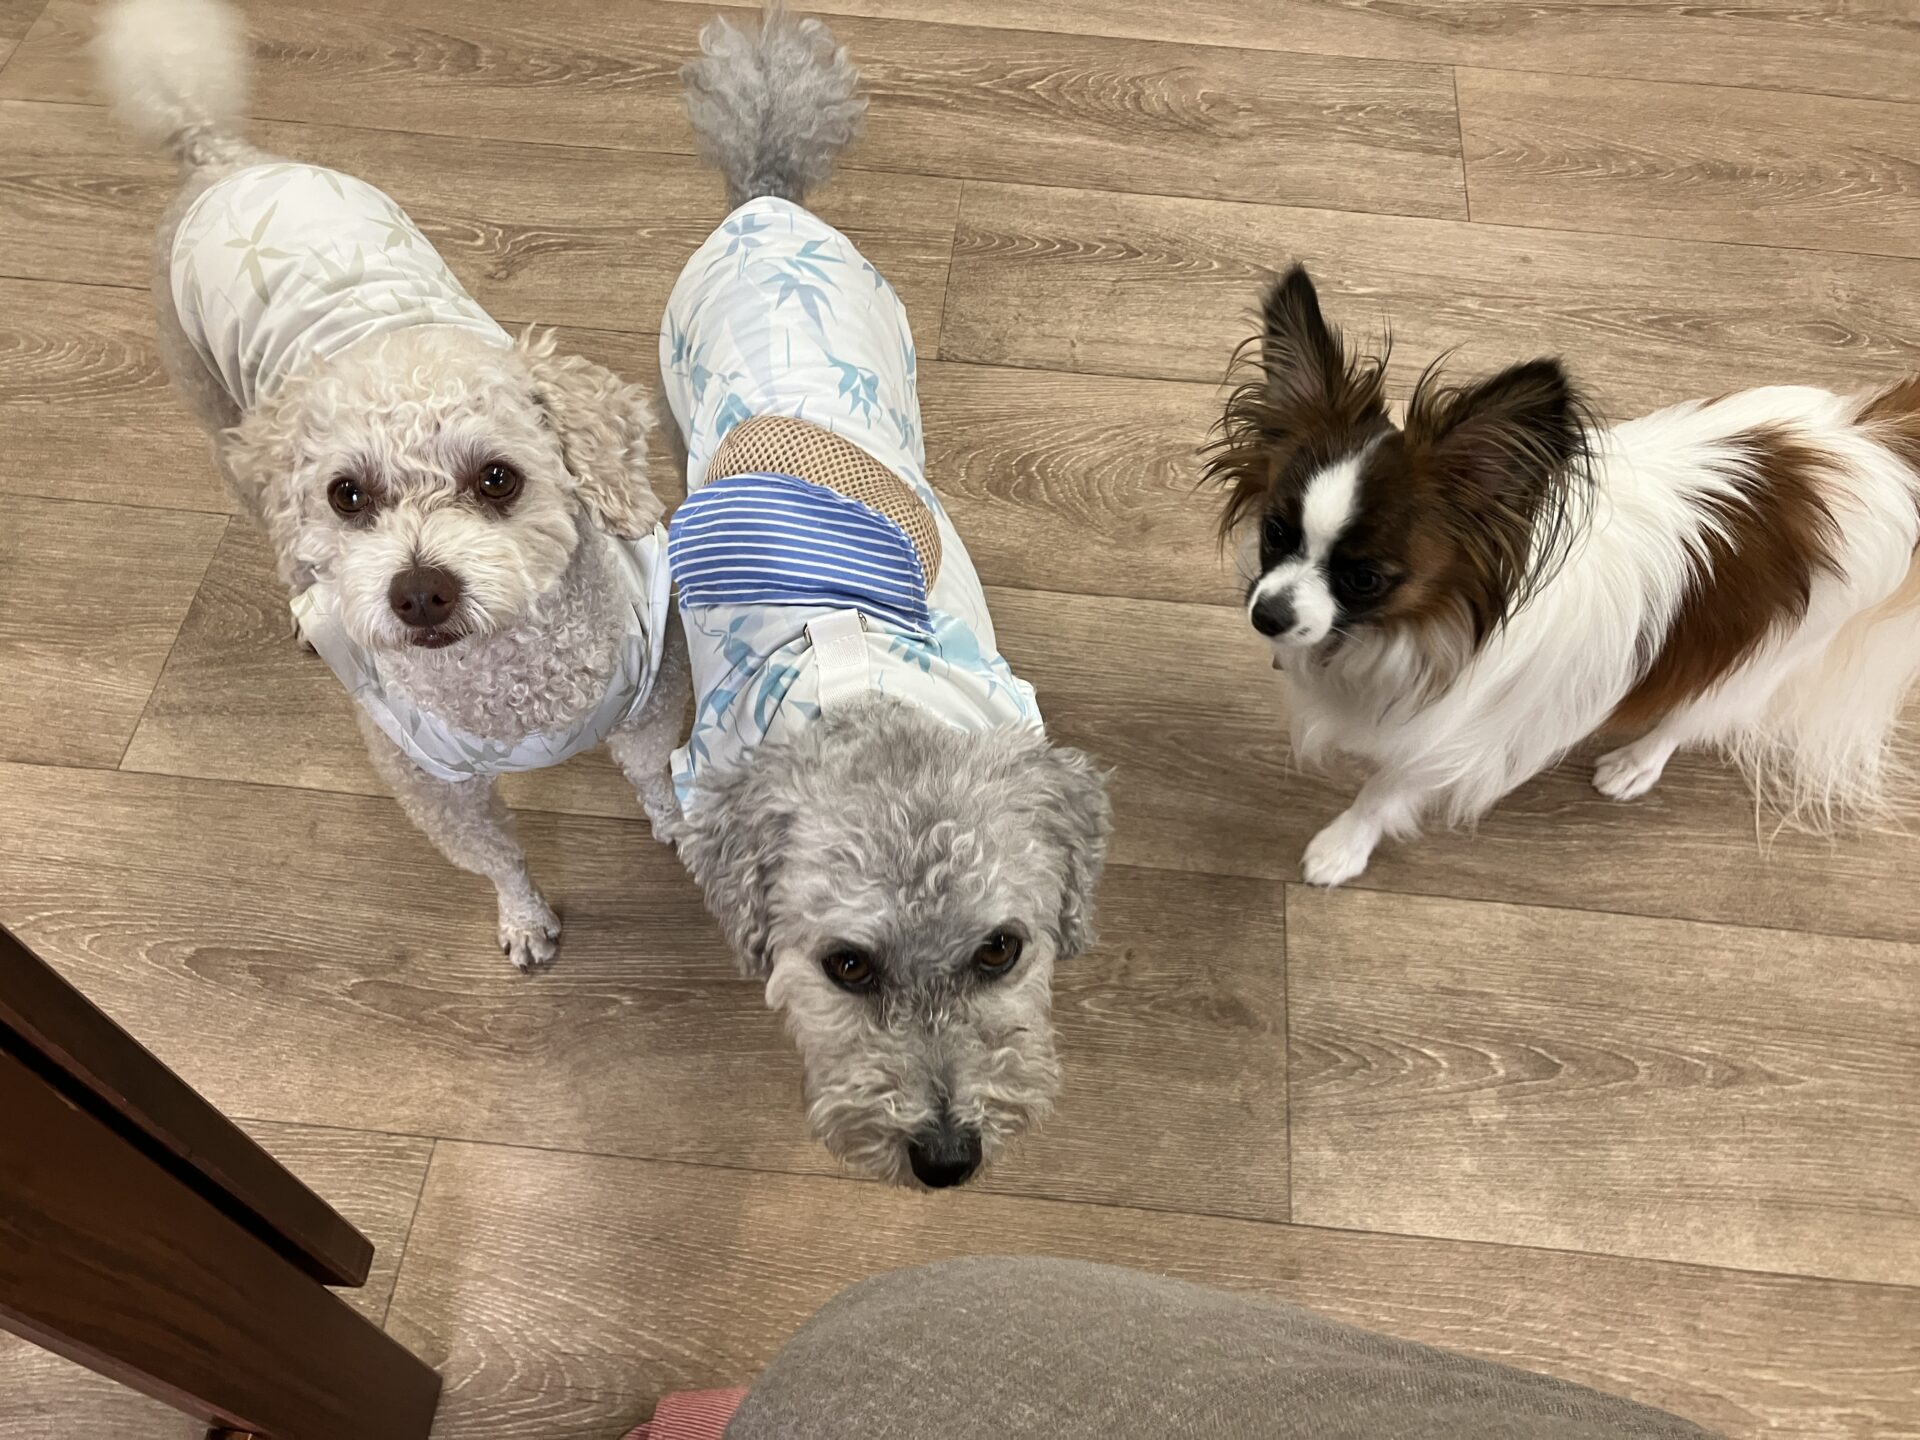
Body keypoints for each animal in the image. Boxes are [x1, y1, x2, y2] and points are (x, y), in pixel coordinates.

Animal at [98, 0, 690, 970]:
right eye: (348, 495)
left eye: (498, 479)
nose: (418, 593)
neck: (515, 690)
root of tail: (220, 156)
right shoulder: (432, 785)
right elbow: (497, 857)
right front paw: (524, 921)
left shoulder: (647, 699)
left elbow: (654, 778)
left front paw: (681, 827)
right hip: (217, 419)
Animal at [1209, 264, 1920, 887]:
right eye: (1276, 532)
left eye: (1365, 579)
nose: (1266, 614)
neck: (1412, 629)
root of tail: (1875, 441)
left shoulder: (1453, 744)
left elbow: (1384, 792)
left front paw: (1341, 847)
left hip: (1771, 651)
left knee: (1697, 712)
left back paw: (1635, 763)